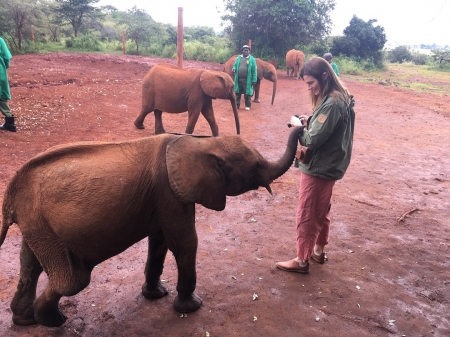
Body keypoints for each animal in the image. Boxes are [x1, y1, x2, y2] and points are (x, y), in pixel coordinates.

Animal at [0, 125, 306, 326]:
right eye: (255, 168)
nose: (301, 126)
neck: (202, 143)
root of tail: (11, 190)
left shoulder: (161, 198)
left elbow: (159, 242)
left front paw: (155, 296)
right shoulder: (169, 192)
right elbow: (184, 243)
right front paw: (191, 307)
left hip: (36, 222)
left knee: (30, 264)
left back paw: (25, 320)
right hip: (42, 223)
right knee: (74, 279)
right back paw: (53, 321)